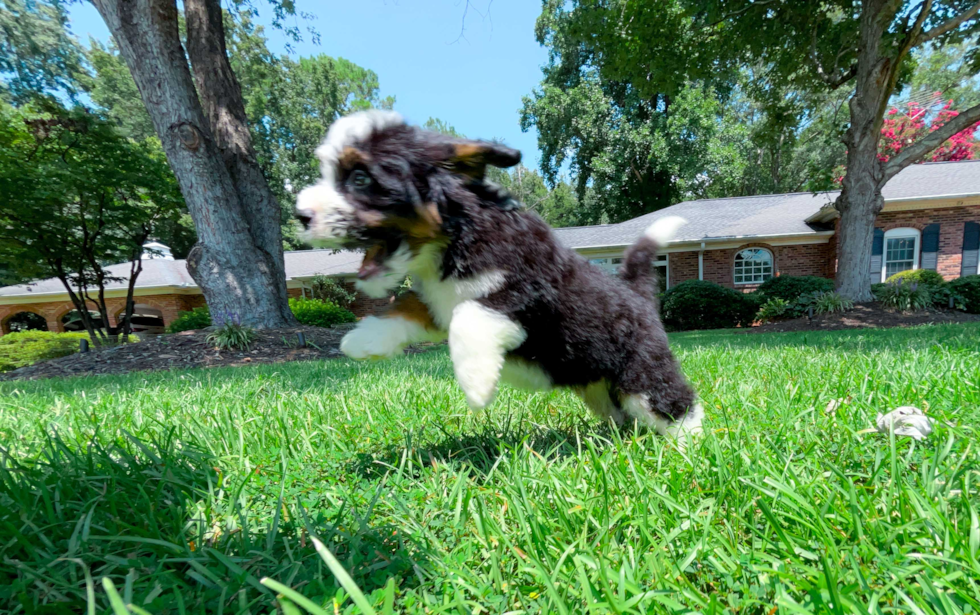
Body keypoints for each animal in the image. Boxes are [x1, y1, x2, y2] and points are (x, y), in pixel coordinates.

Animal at [296, 109, 704, 438]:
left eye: (360, 178)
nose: (301, 215)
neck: (456, 237)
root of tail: (637, 295)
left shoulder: (525, 294)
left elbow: (470, 315)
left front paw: (476, 382)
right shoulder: (436, 299)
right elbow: (408, 306)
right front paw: (366, 338)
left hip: (642, 371)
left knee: (675, 404)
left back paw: (689, 450)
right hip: (599, 387)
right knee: (624, 414)